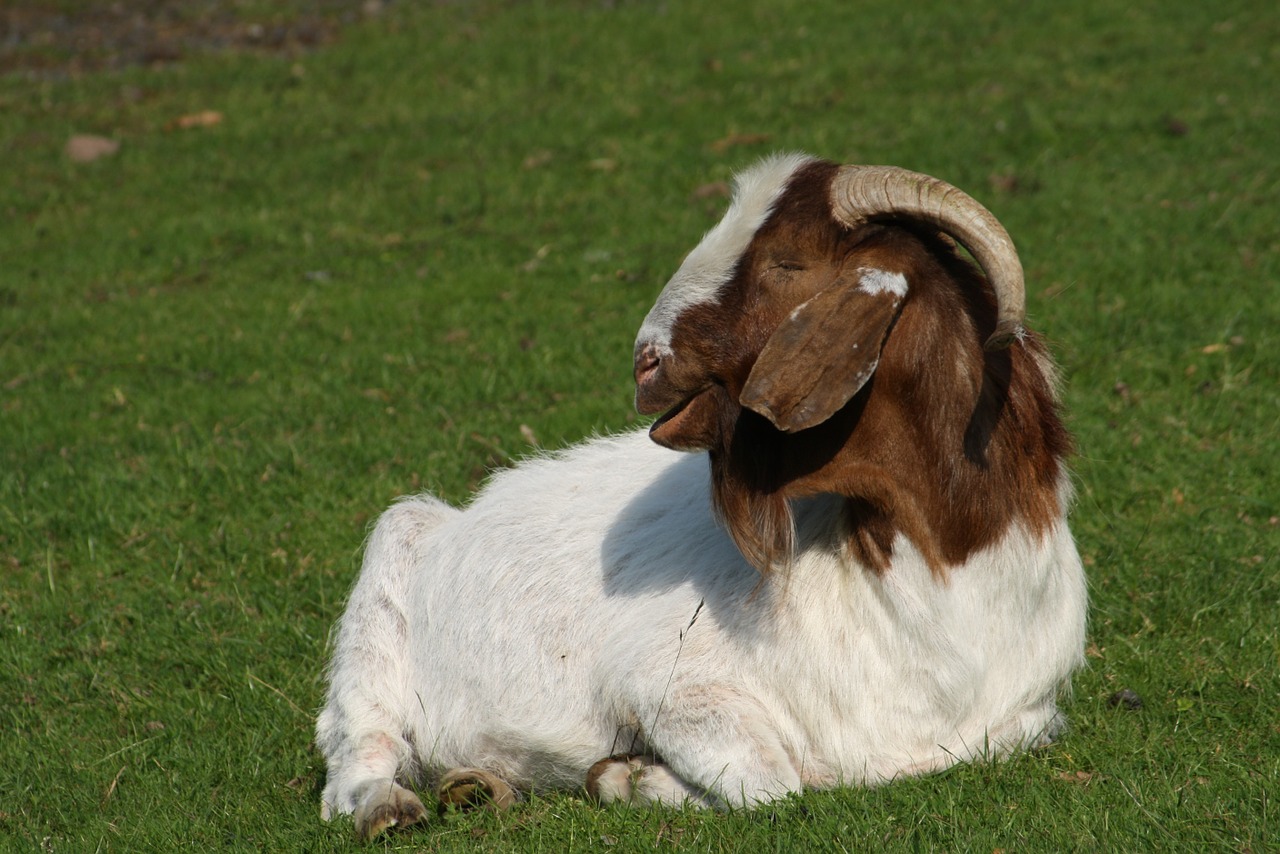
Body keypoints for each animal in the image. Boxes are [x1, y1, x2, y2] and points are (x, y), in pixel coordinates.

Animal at [314, 150, 1085, 839]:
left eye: (788, 263)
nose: (645, 360)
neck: (943, 573)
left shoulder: (1024, 719)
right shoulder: (666, 681)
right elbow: (774, 782)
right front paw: (629, 776)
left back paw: (480, 785)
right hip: (390, 565)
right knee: (357, 744)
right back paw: (386, 806)